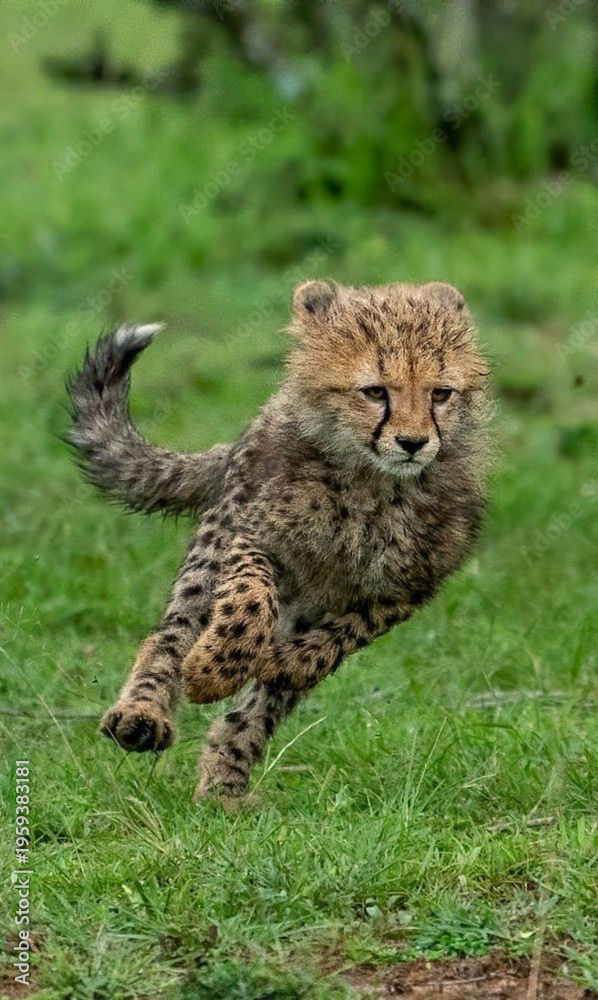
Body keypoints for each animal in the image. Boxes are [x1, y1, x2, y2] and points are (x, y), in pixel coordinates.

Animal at [66, 279, 491, 803]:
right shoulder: (250, 535)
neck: (374, 482)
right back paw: (144, 715)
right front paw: (213, 670)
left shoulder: (403, 590)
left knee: (256, 711)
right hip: (211, 552)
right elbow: (250, 598)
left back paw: (223, 786)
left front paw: (280, 662)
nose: (413, 443)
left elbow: (331, 643)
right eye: (375, 392)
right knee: (171, 633)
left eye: (441, 393)